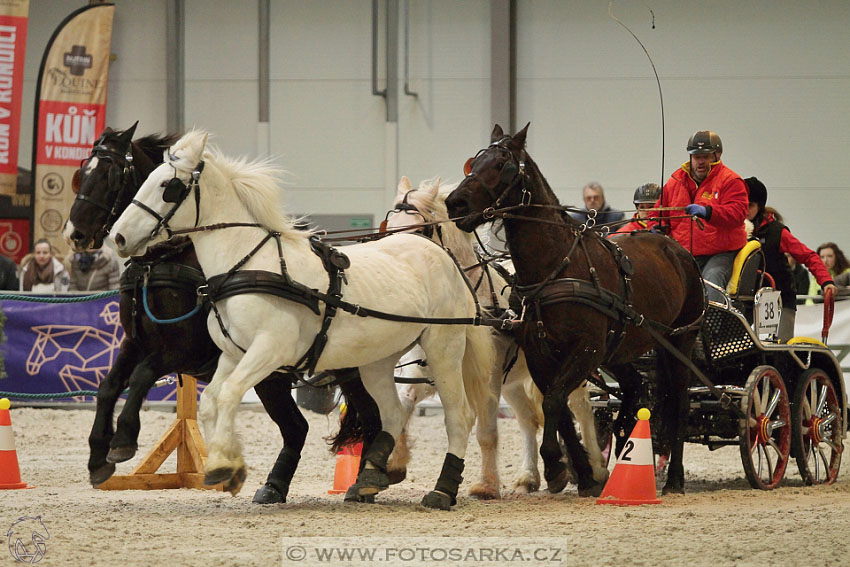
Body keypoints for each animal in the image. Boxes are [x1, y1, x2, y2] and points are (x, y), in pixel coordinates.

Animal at [70, 123, 378, 502]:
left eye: (110, 174)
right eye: (81, 174)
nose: (76, 234)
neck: (165, 262)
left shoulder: (183, 351)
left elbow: (141, 376)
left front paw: (123, 440)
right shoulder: (136, 342)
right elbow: (108, 386)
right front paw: (98, 457)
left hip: (345, 368)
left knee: (371, 418)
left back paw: (365, 481)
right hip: (272, 377)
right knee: (297, 427)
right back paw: (274, 486)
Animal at [109, 133, 494, 510]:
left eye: (167, 186)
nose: (118, 237)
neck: (249, 263)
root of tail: (443, 257)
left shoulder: (269, 351)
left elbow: (230, 394)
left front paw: (223, 467)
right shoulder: (233, 354)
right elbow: (212, 401)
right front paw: (229, 465)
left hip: (443, 348)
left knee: (459, 416)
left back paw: (443, 490)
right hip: (377, 360)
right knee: (393, 413)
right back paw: (368, 479)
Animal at [384, 175, 608, 494]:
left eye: (418, 230)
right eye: (387, 227)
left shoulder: (485, 377)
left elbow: (486, 431)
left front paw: (487, 485)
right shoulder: (425, 371)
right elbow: (404, 404)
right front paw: (394, 463)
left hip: (571, 363)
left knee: (581, 407)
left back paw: (596, 469)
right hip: (514, 380)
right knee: (528, 419)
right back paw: (530, 476)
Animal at [444, 125, 704, 496]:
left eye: (502, 166)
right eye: (474, 163)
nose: (455, 204)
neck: (557, 267)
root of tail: (676, 249)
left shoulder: (585, 348)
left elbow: (554, 401)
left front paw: (557, 464)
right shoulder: (540, 354)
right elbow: (559, 409)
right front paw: (582, 473)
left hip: (680, 340)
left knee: (679, 402)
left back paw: (674, 479)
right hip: (619, 349)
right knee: (635, 387)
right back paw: (623, 443)